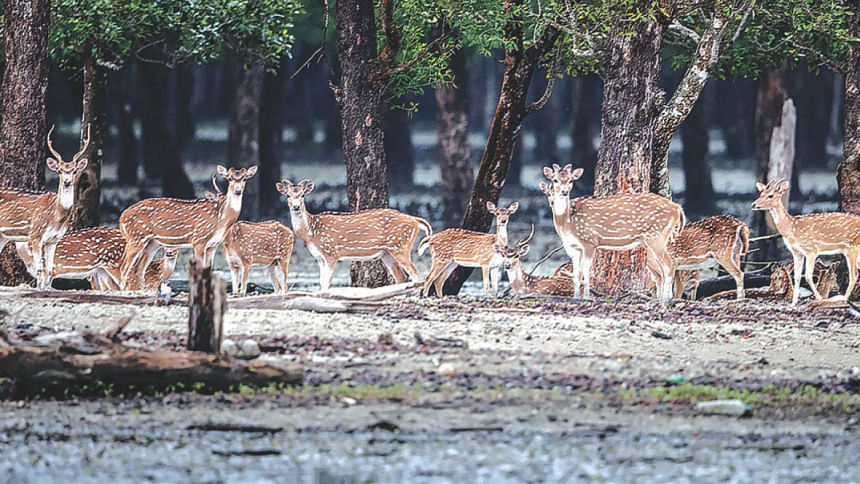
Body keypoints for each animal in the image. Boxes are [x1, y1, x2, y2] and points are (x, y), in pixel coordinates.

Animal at [0, 125, 90, 288]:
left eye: (74, 170)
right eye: (59, 170)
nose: (67, 182)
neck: (57, 216)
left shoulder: (53, 240)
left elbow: (48, 270)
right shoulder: (36, 234)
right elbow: (40, 270)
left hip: (3, 236)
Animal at [119, 166, 256, 288]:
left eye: (244, 178)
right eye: (230, 178)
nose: (238, 191)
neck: (220, 219)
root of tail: (122, 217)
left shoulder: (213, 245)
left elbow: (209, 270)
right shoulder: (199, 239)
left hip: (152, 243)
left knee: (140, 267)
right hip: (136, 237)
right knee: (124, 267)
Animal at [278, 179, 434, 290]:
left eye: (303, 195)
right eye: (287, 195)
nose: (296, 206)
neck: (311, 232)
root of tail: (414, 220)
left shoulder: (331, 252)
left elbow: (326, 281)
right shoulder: (319, 257)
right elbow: (321, 281)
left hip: (400, 245)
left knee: (415, 272)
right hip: (387, 253)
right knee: (401, 277)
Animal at [540, 164, 688, 304]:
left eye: (571, 180)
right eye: (555, 179)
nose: (564, 192)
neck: (567, 223)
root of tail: (677, 208)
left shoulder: (589, 241)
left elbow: (586, 272)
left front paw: (586, 297)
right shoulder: (574, 247)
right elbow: (576, 274)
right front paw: (576, 297)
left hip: (657, 235)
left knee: (669, 266)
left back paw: (665, 301)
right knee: (663, 269)